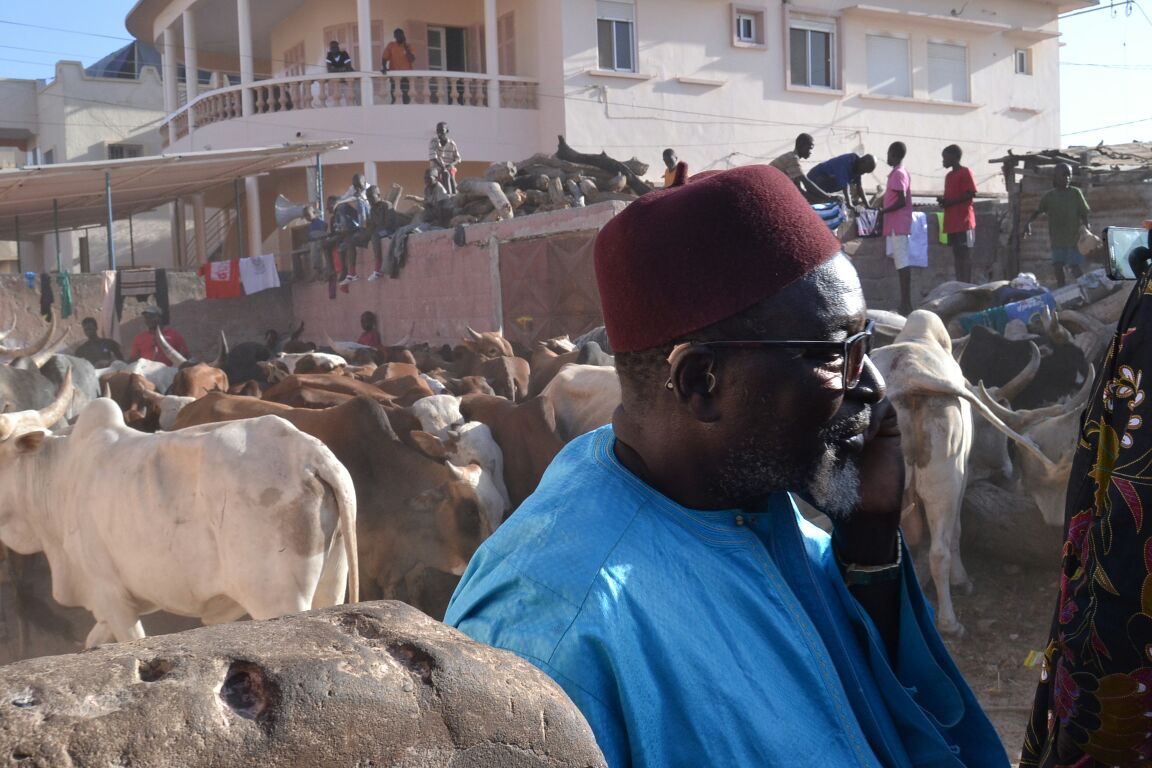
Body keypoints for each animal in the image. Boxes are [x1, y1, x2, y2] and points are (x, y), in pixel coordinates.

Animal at [870, 310, 1055, 635]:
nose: (1008, 471)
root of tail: (906, 380)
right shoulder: (961, 476)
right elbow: (955, 532)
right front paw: (961, 581)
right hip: (944, 482)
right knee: (938, 551)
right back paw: (949, 623)